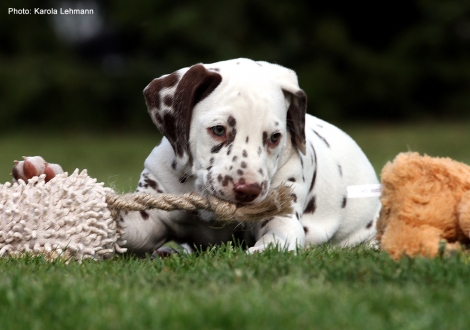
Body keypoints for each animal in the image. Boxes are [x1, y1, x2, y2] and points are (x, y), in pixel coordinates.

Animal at [14, 58, 382, 255]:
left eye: (275, 138)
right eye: (219, 130)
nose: (247, 190)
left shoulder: (283, 217)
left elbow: (277, 239)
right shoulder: (150, 216)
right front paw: (45, 178)